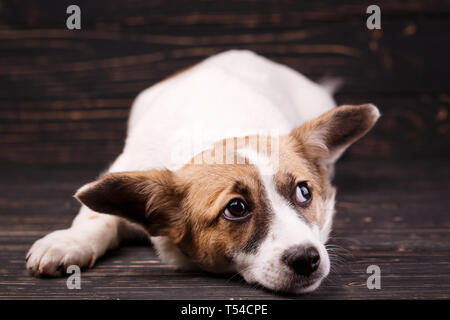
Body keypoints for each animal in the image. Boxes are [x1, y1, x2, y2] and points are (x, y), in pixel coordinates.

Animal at [25, 50, 380, 296]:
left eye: (304, 192)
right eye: (236, 208)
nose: (308, 258)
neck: (218, 133)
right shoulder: (123, 167)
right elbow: (95, 217)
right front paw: (70, 241)